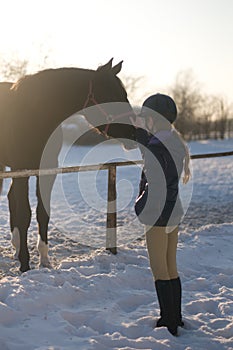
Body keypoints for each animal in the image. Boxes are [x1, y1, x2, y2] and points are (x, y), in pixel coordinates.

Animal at [0, 58, 137, 272]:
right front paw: (25, 265)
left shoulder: (47, 172)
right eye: (111, 95)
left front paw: (44, 261)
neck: (33, 119)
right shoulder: (21, 171)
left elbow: (42, 213)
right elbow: (24, 214)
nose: (133, 133)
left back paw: (15, 246)